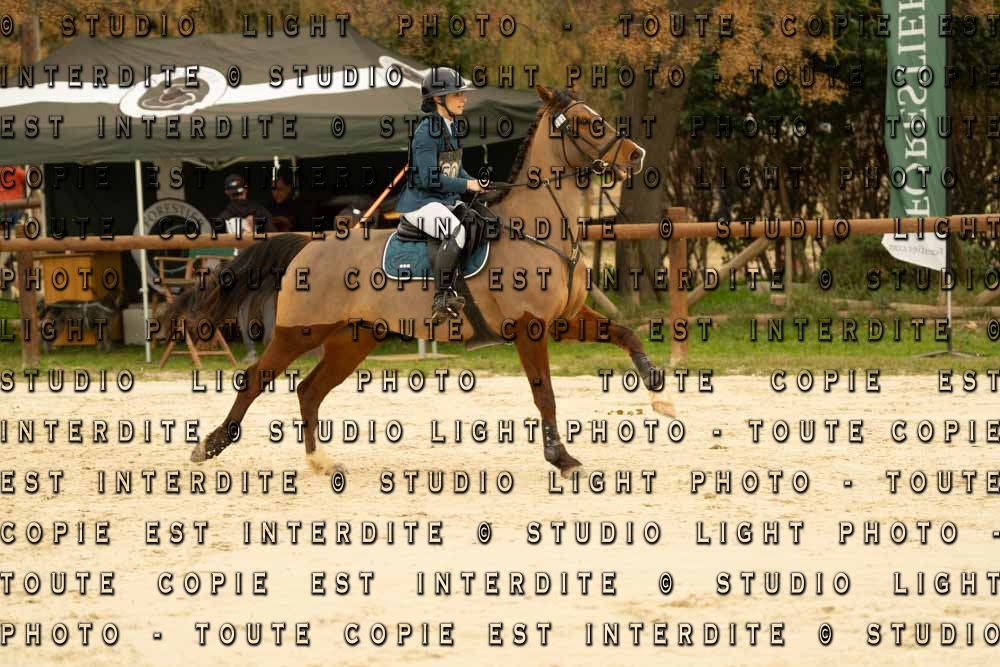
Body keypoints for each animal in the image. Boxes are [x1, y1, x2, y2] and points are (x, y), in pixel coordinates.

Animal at [164, 84, 676, 478]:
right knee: (254, 380)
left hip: (355, 339)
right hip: (300, 332)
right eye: (589, 124)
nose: (637, 155)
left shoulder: (565, 319)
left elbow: (625, 334)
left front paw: (660, 394)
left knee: (309, 390)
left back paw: (321, 463)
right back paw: (209, 445)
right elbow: (544, 393)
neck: (539, 229)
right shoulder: (530, 328)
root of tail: (310, 245)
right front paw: (561, 458)